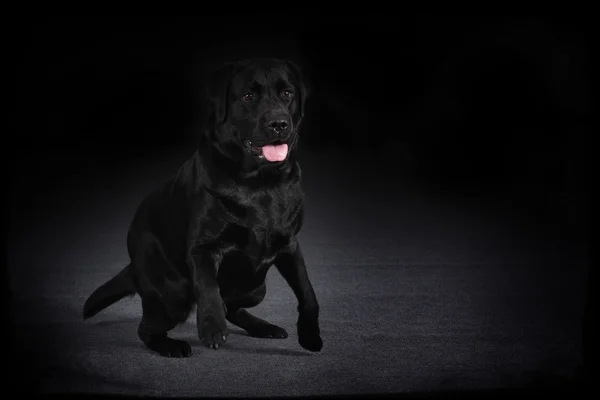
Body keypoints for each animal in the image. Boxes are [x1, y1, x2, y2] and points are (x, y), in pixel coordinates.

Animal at [84, 57, 324, 356]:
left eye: (287, 94)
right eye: (248, 96)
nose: (278, 123)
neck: (261, 183)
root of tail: (133, 265)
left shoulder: (289, 245)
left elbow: (307, 291)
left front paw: (310, 335)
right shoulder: (203, 248)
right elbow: (209, 287)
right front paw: (212, 326)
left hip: (256, 289)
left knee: (233, 306)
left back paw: (263, 327)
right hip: (172, 291)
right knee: (148, 328)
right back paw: (171, 346)